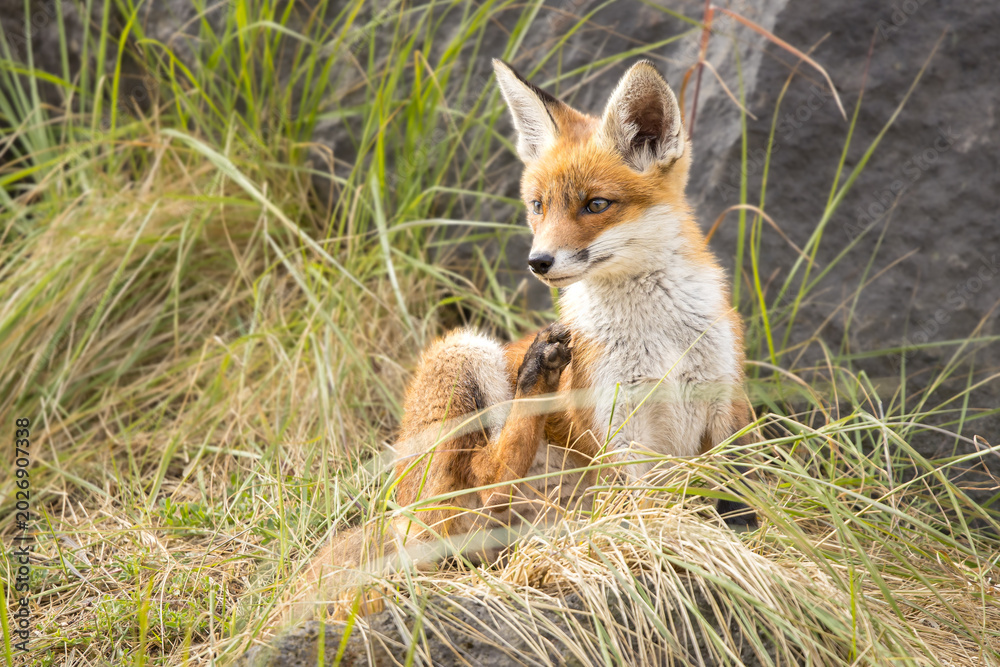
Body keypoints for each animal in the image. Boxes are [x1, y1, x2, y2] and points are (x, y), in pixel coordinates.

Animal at [301, 59, 757, 600]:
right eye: (539, 205)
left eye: (596, 205)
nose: (538, 262)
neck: (657, 336)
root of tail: (395, 519)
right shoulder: (617, 423)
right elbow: (646, 507)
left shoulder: (723, 403)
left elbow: (734, 492)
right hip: (463, 353)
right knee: (483, 480)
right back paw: (535, 376)